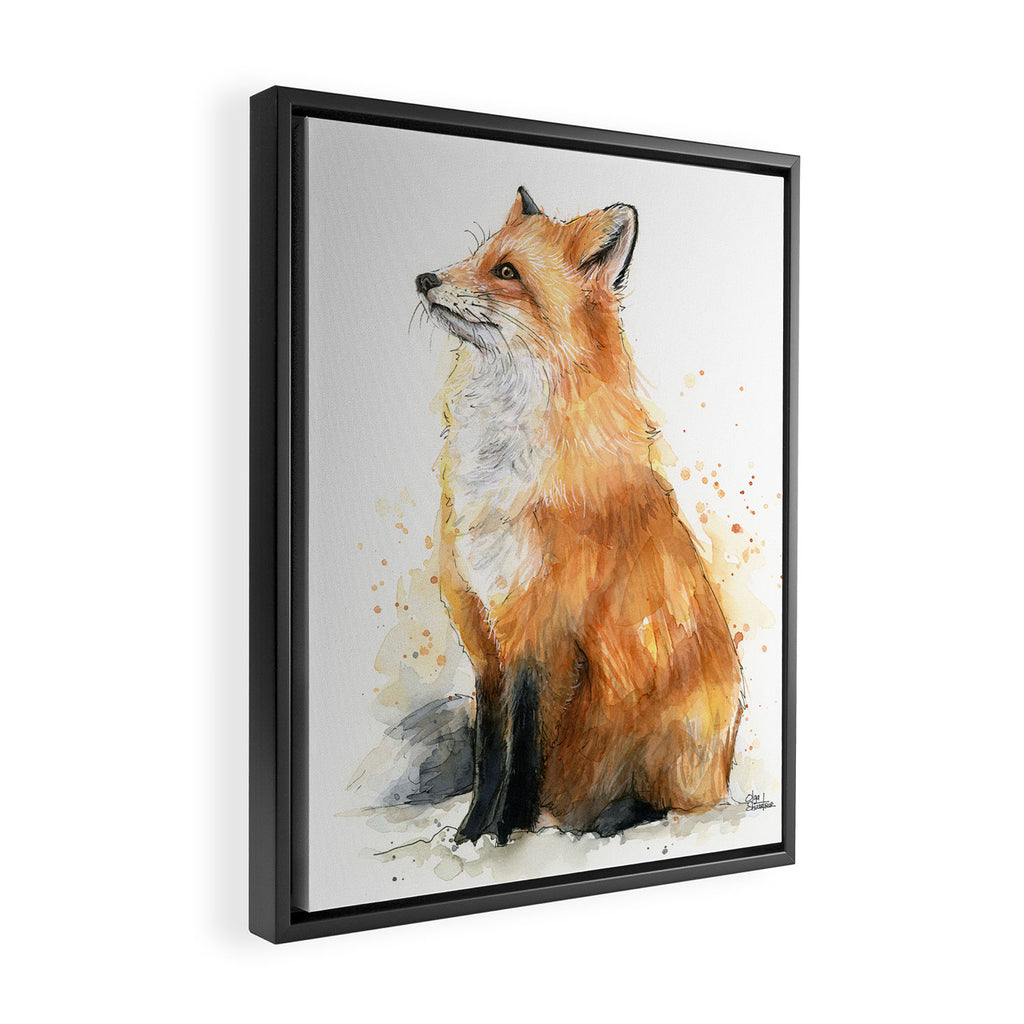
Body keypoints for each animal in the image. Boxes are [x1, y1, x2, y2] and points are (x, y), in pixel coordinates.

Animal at [415, 187, 744, 844]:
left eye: (507, 272)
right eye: (475, 257)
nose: (425, 279)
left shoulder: (544, 635)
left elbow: (524, 755)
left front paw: (506, 838)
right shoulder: (485, 636)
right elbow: (492, 754)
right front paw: (469, 839)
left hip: (683, 733)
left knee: (672, 804)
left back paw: (608, 822)